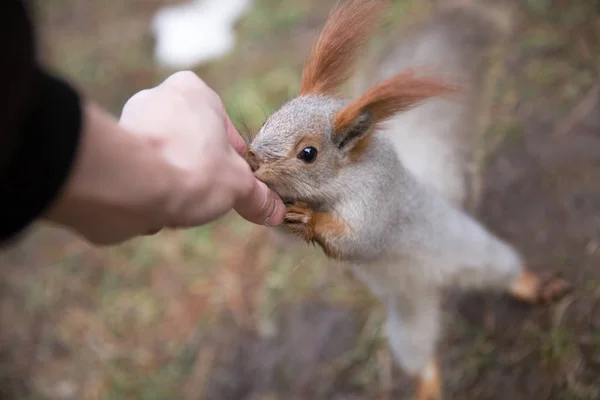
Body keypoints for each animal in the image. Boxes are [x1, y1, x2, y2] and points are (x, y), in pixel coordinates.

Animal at [244, 1, 572, 398]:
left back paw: (533, 285)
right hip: (409, 321)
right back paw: (427, 388)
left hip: (477, 253)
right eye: (270, 119)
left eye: (308, 153)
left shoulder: (379, 199)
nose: (254, 157)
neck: (335, 185)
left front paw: (310, 218)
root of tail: (435, 282)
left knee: (506, 270)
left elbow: (361, 238)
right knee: (421, 358)